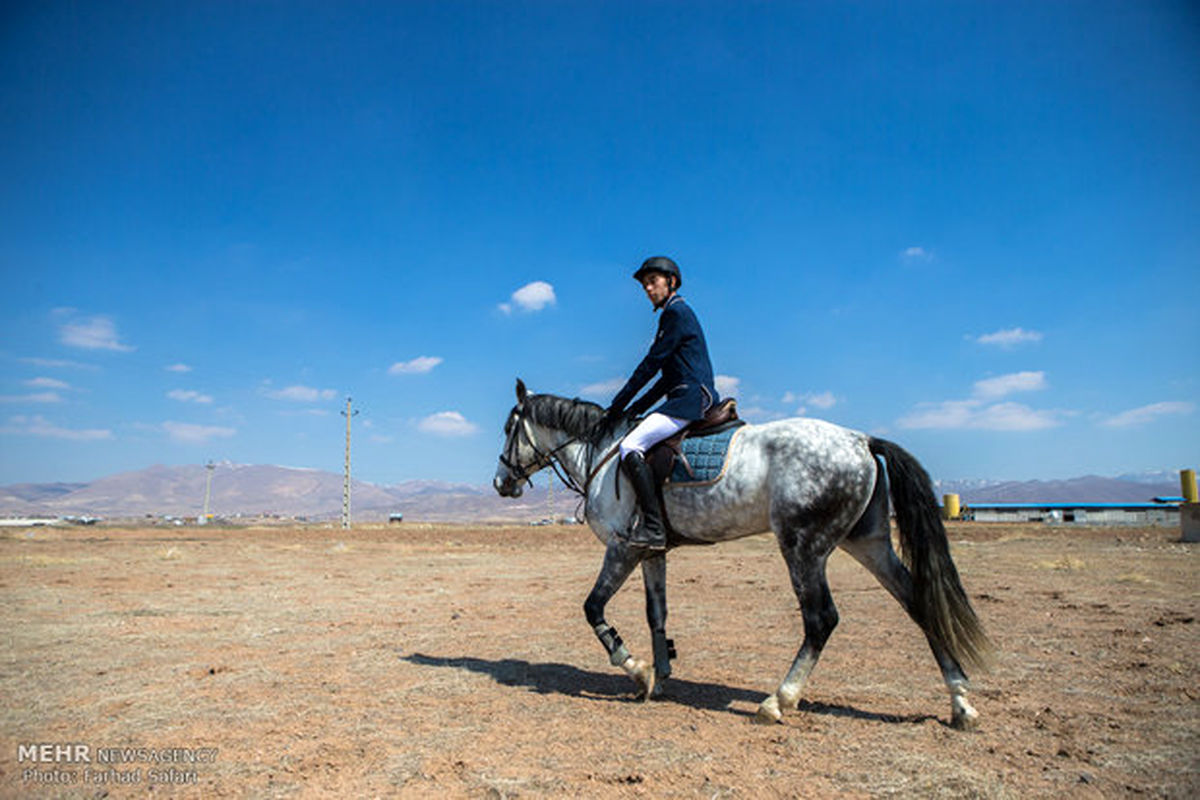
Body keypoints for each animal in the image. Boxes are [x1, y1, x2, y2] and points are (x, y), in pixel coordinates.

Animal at [492, 381, 988, 724]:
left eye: (508, 429)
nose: (501, 483)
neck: (605, 452)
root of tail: (861, 440)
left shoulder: (621, 548)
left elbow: (593, 607)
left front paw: (636, 670)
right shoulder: (652, 552)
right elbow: (657, 615)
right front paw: (662, 674)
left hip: (804, 547)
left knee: (821, 619)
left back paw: (778, 701)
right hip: (869, 543)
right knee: (918, 601)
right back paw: (960, 703)